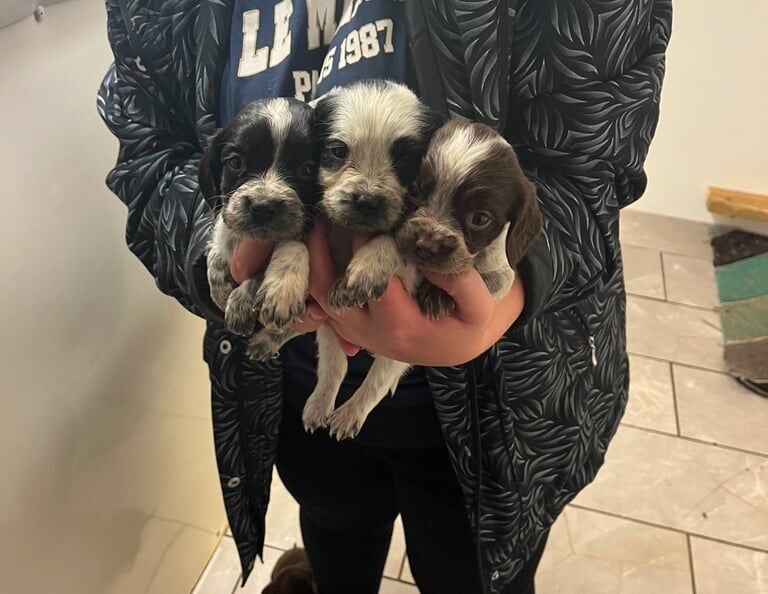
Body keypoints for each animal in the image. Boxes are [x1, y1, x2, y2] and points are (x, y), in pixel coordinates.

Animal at [200, 97, 320, 358]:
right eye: (235, 162)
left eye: (307, 169)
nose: (263, 206)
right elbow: (221, 240)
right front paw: (219, 286)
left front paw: (250, 297)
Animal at [302, 80, 444, 440]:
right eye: (338, 151)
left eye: (405, 160)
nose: (366, 201)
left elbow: (396, 237)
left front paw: (367, 267)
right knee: (335, 365)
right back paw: (320, 405)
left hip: (405, 347)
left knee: (380, 379)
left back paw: (349, 414)